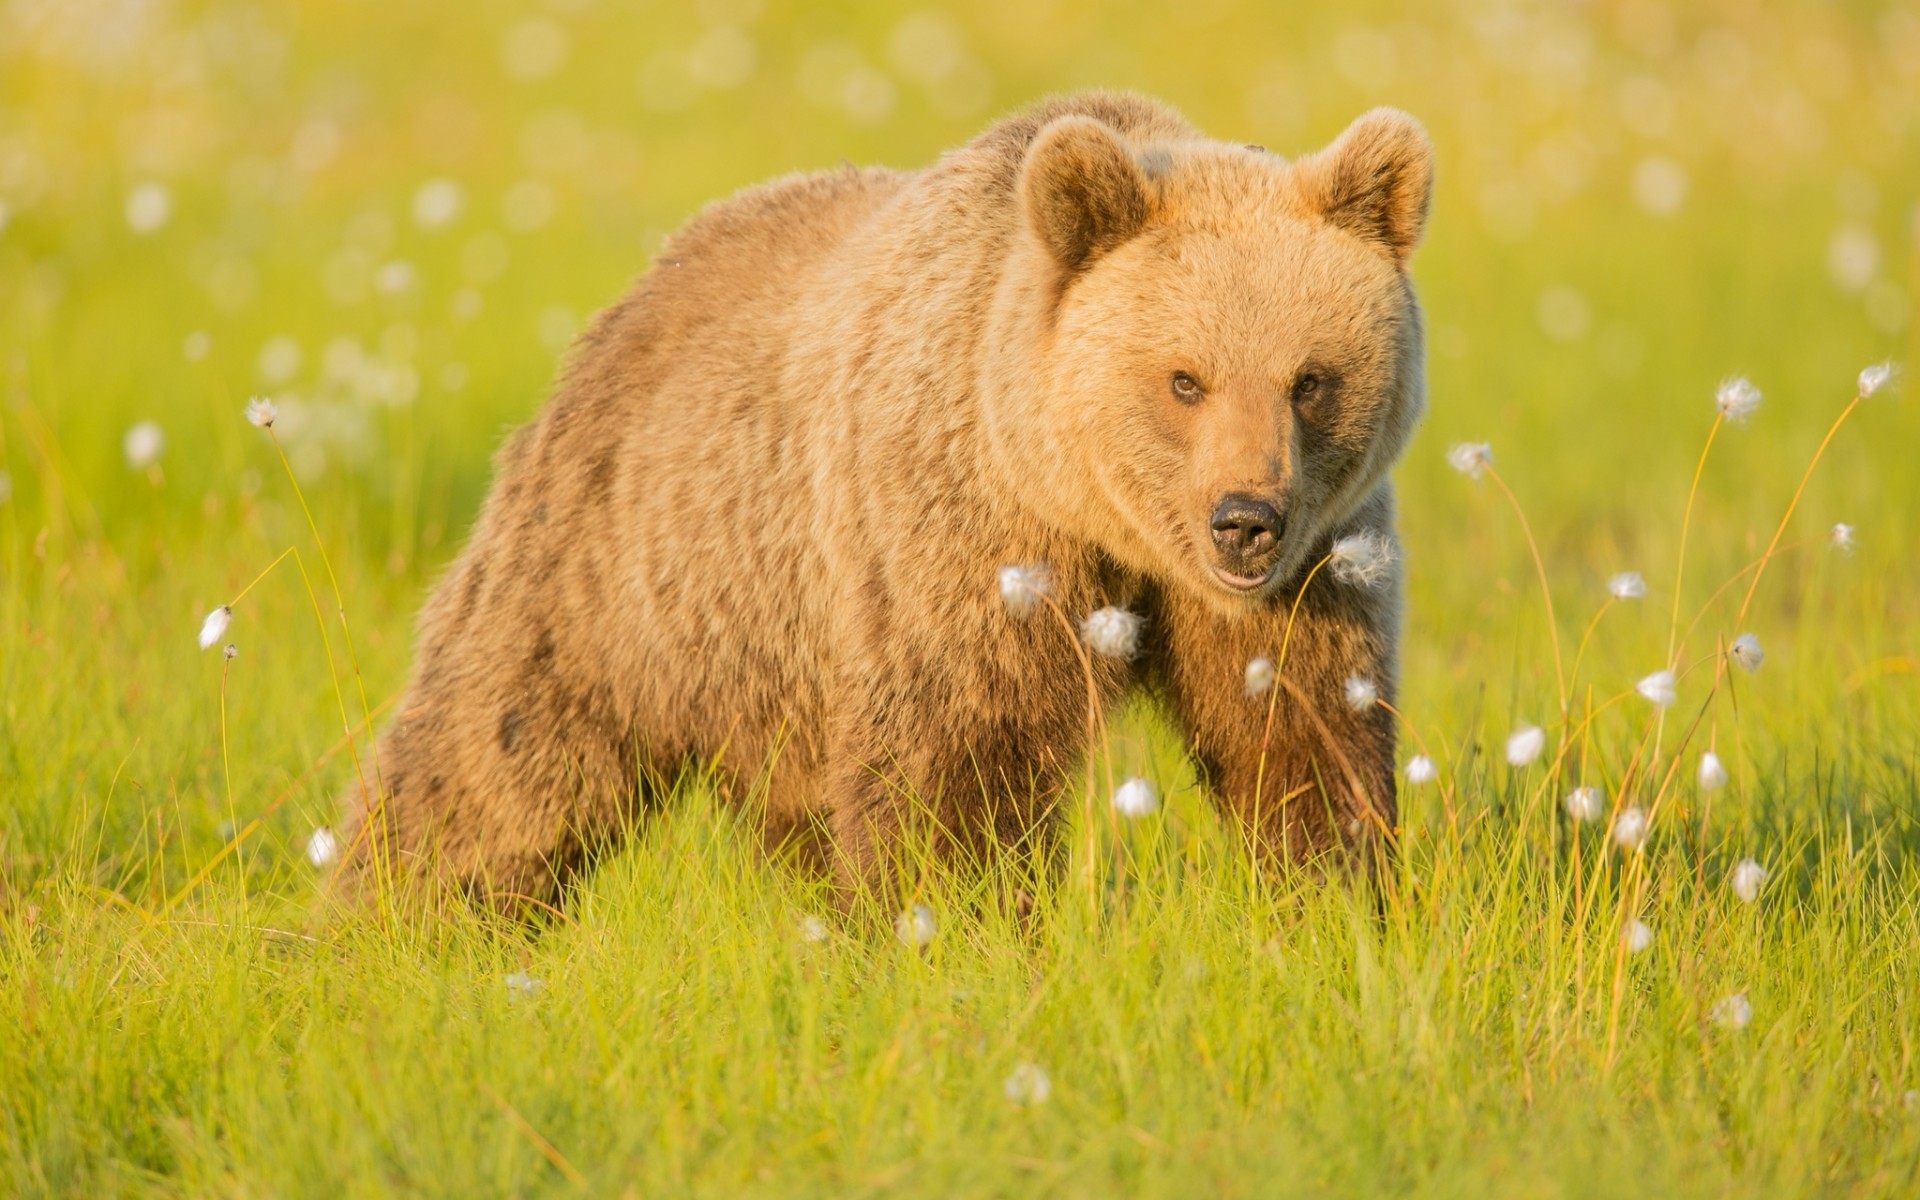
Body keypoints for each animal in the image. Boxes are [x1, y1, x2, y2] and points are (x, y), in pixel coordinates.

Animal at [335, 90, 1433, 912]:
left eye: (1310, 379)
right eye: (1184, 380)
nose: (1245, 519)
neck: (1092, 515)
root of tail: (643, 287)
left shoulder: (1312, 572)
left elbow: (1299, 732)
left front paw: (1333, 897)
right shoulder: (955, 537)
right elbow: (958, 761)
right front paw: (963, 924)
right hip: (618, 566)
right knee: (493, 762)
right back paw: (389, 925)